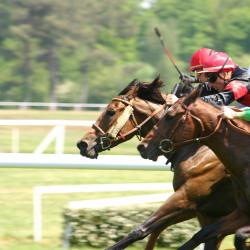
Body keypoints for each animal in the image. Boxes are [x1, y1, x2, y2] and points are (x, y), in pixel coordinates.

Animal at [76, 77, 236, 249]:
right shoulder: (201, 210)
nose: (83, 144)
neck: (198, 148)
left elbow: (142, 230)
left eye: (111, 111)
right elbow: (156, 231)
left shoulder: (186, 197)